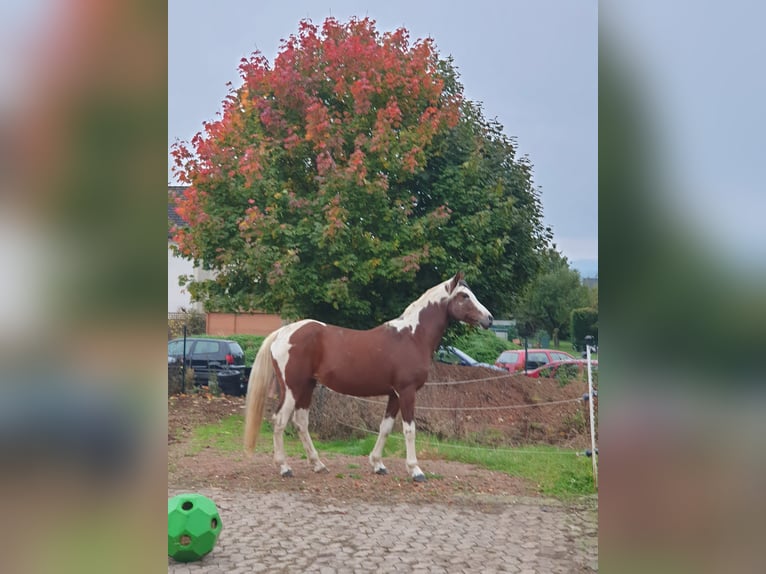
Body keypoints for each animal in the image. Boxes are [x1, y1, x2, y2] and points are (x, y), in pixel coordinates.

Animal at [243, 272, 496, 484]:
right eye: (464, 296)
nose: (489, 319)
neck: (412, 336)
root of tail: (282, 333)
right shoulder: (407, 392)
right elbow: (409, 430)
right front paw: (415, 470)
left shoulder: (394, 395)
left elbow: (385, 428)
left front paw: (378, 464)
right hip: (292, 389)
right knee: (279, 421)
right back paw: (284, 467)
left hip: (307, 387)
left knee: (300, 422)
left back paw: (318, 465)